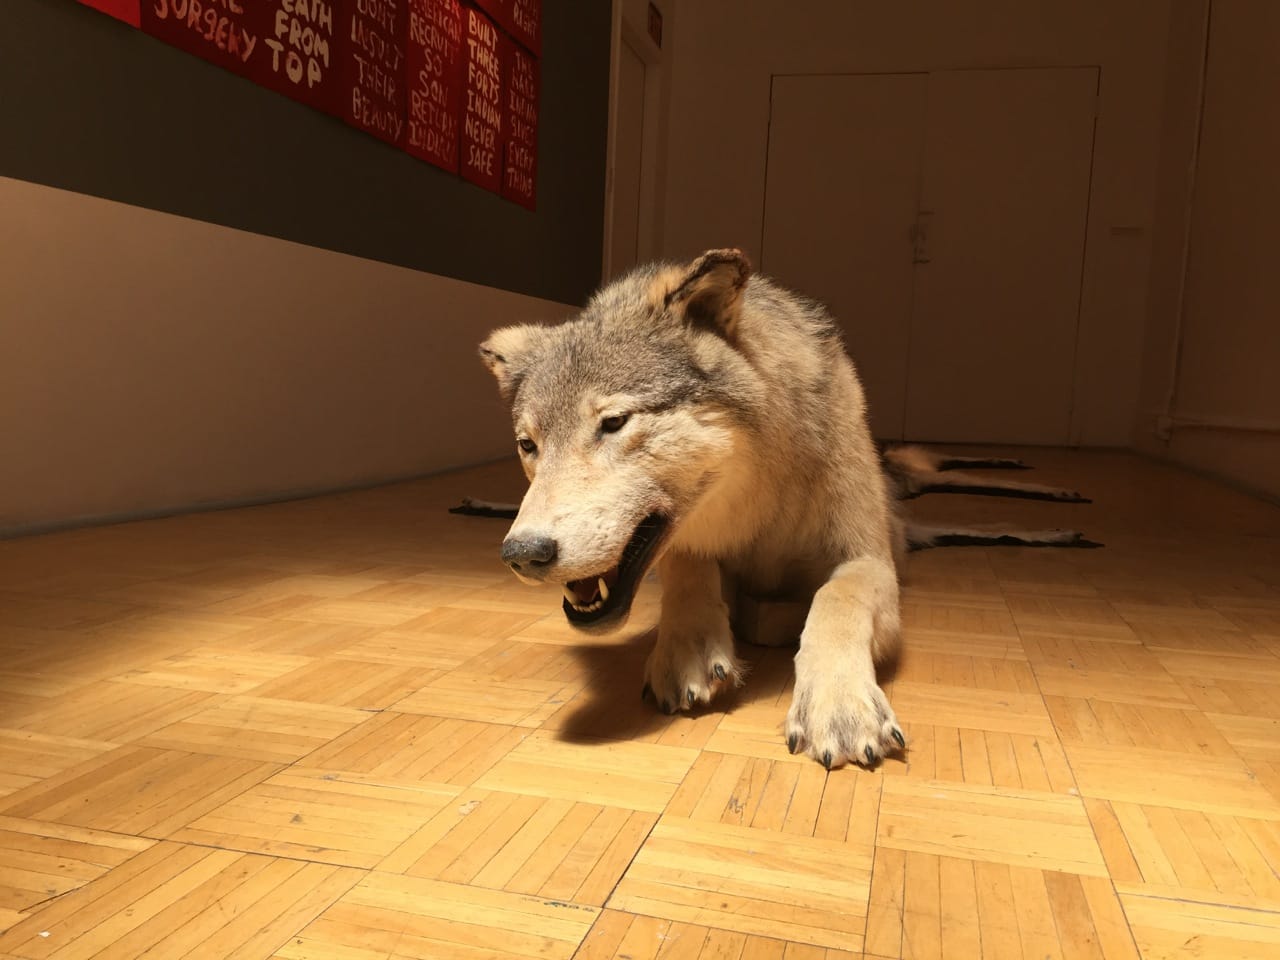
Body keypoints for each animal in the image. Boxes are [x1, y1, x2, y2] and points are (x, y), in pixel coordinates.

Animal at [478, 248, 910, 770]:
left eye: (614, 423)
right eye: (528, 445)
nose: (522, 553)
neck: (758, 512)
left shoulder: (870, 560)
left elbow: (837, 597)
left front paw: (840, 705)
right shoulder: (692, 545)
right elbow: (688, 569)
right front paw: (689, 651)